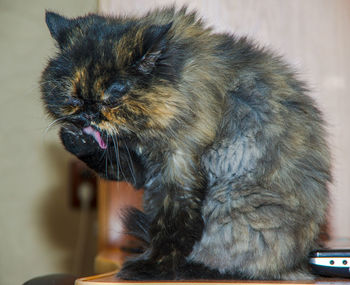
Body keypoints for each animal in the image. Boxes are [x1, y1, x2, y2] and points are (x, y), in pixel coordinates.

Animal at [40, 6, 330, 280]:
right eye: (73, 97)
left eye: (111, 98)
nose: (88, 113)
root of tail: (300, 262)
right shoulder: (145, 172)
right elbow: (112, 160)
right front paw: (76, 138)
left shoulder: (178, 168)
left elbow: (172, 226)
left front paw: (152, 268)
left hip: (233, 207)